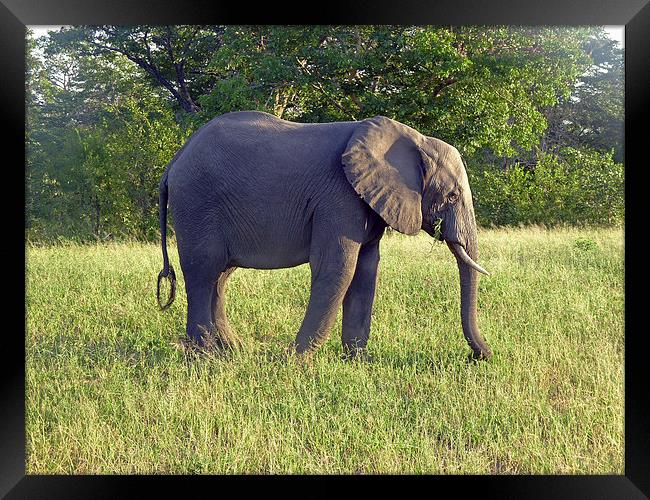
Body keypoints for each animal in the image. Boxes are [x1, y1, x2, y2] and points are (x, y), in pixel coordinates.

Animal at [157, 110, 492, 360]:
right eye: (451, 196)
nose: (481, 356)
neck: (413, 138)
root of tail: (175, 161)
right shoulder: (338, 198)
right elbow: (338, 269)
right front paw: (295, 360)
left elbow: (366, 271)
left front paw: (358, 361)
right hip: (197, 203)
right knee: (203, 271)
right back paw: (206, 356)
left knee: (221, 275)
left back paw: (233, 349)